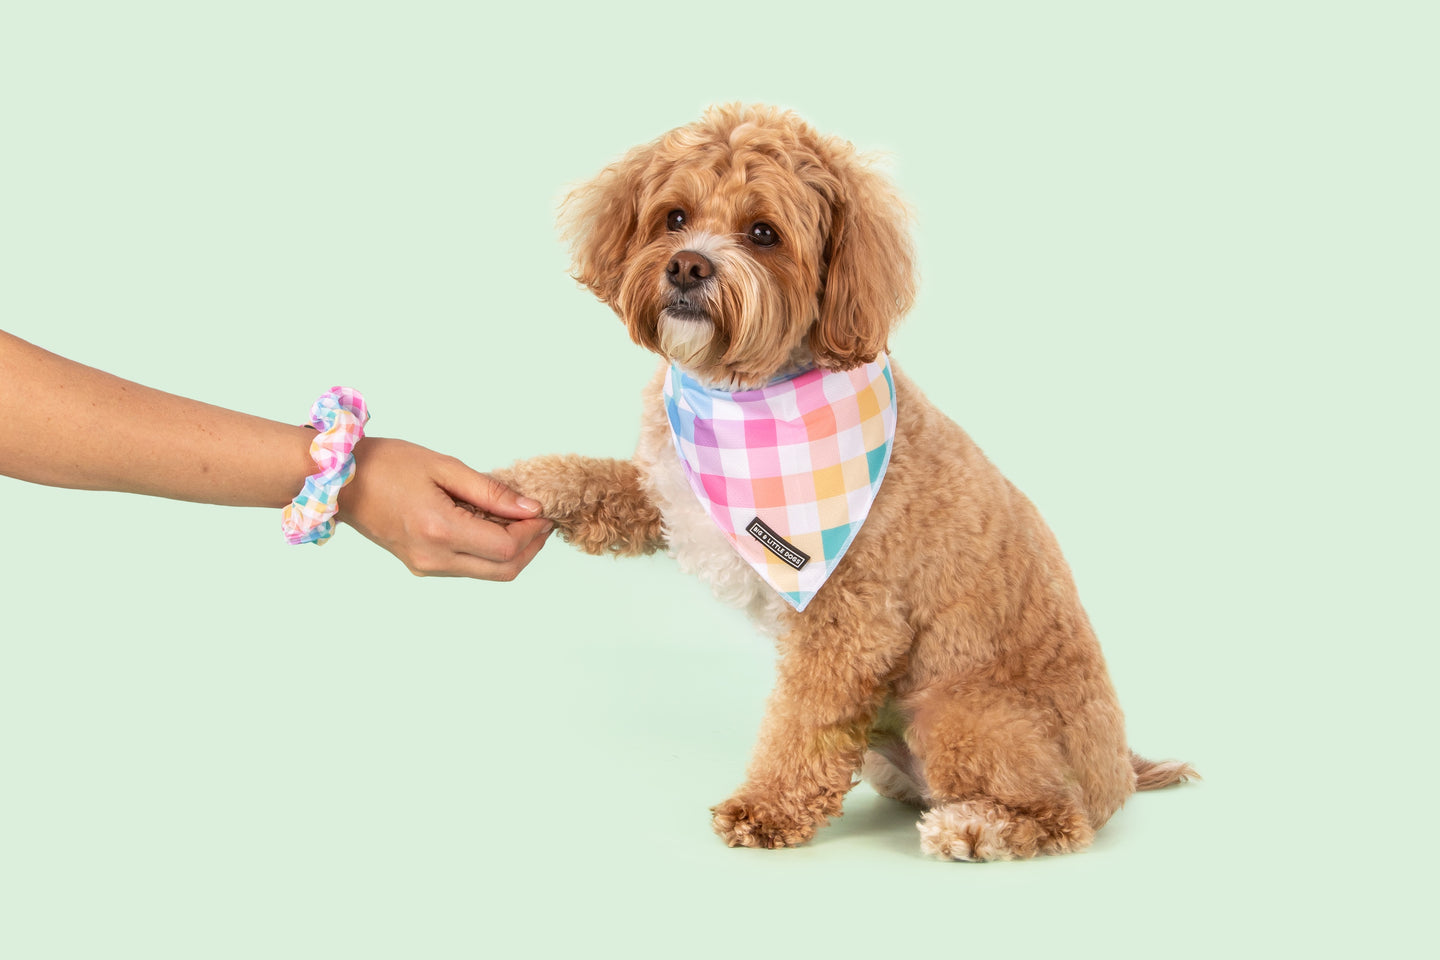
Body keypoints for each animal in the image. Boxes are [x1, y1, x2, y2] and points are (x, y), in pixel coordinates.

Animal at [495, 105, 1192, 863]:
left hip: (958, 710)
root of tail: (1120, 771)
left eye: (764, 232)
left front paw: (765, 808)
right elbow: (598, 481)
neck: (748, 395)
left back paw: (974, 828)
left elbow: (804, 723)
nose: (686, 266)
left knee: (1060, 816)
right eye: (674, 217)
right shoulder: (672, 493)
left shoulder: (851, 620)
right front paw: (517, 483)